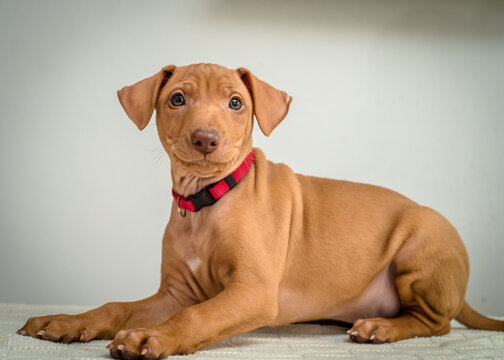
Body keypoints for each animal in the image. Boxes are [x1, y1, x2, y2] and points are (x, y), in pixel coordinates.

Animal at [16, 63, 504, 358]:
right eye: (177, 99)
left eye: (236, 103)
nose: (205, 139)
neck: (206, 202)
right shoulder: (174, 293)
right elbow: (115, 305)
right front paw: (66, 322)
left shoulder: (252, 291)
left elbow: (196, 316)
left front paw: (154, 337)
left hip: (420, 249)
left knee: (435, 324)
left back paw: (380, 329)